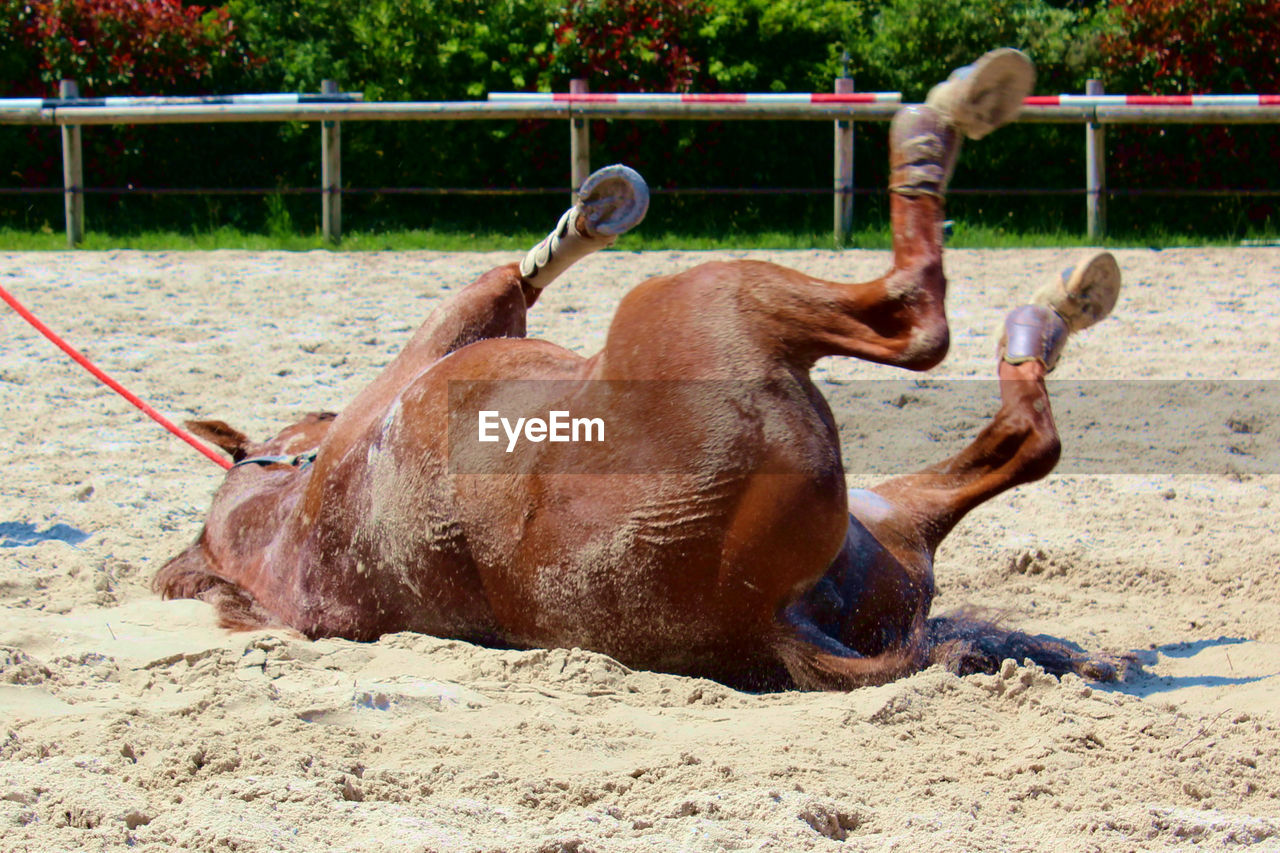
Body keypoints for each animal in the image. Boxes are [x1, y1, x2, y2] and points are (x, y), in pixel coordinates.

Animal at [154, 51, 1126, 691]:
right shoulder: (445, 337)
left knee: (1019, 437)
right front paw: (594, 213)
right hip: (711, 297)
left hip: (893, 523)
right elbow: (510, 278)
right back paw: (970, 148)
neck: (288, 524)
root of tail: (772, 620)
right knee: (921, 325)